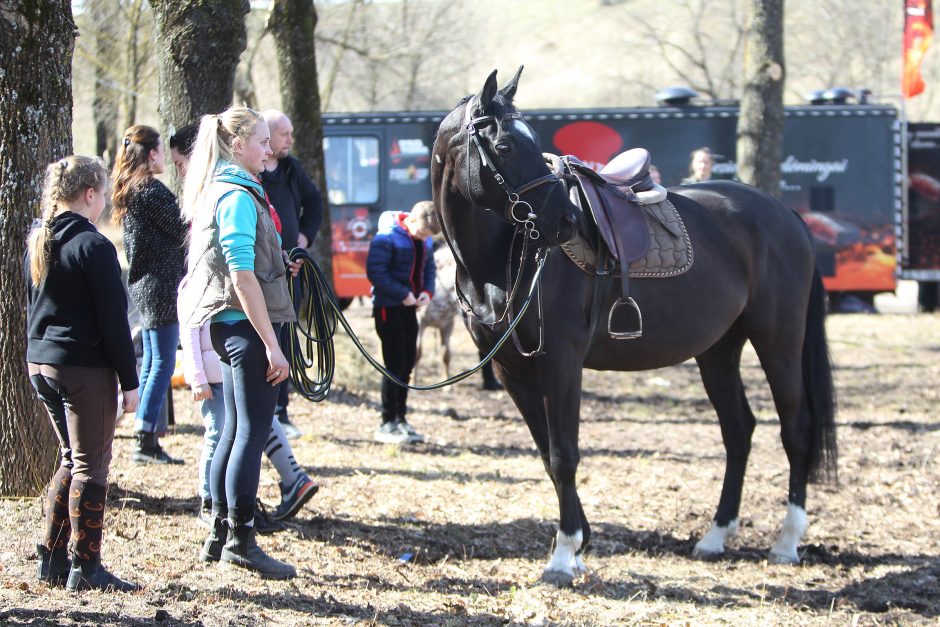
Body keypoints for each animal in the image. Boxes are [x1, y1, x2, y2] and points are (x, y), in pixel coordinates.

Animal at [430, 70, 832, 588]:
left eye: (532, 140)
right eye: (503, 145)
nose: (566, 220)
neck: (502, 258)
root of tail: (786, 216)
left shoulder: (562, 363)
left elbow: (564, 453)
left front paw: (563, 556)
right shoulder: (510, 370)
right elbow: (545, 452)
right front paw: (579, 545)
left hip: (778, 340)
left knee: (795, 429)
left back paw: (786, 542)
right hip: (719, 349)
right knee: (738, 430)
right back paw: (716, 536)